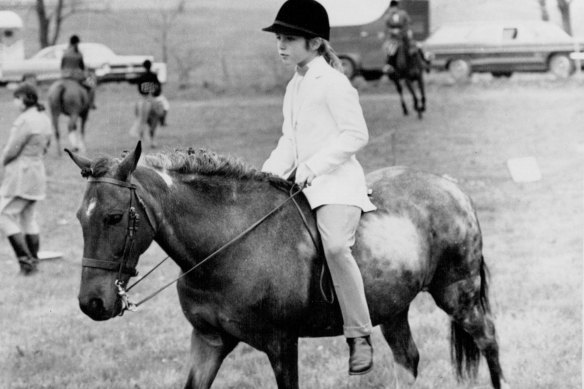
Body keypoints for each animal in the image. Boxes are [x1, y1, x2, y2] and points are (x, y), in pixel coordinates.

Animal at [66, 142, 508, 388]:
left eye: (114, 217)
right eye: (79, 218)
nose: (92, 303)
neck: (226, 246)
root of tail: (449, 185)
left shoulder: (281, 344)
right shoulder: (208, 341)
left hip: (458, 293)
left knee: (488, 340)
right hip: (393, 307)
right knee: (408, 359)